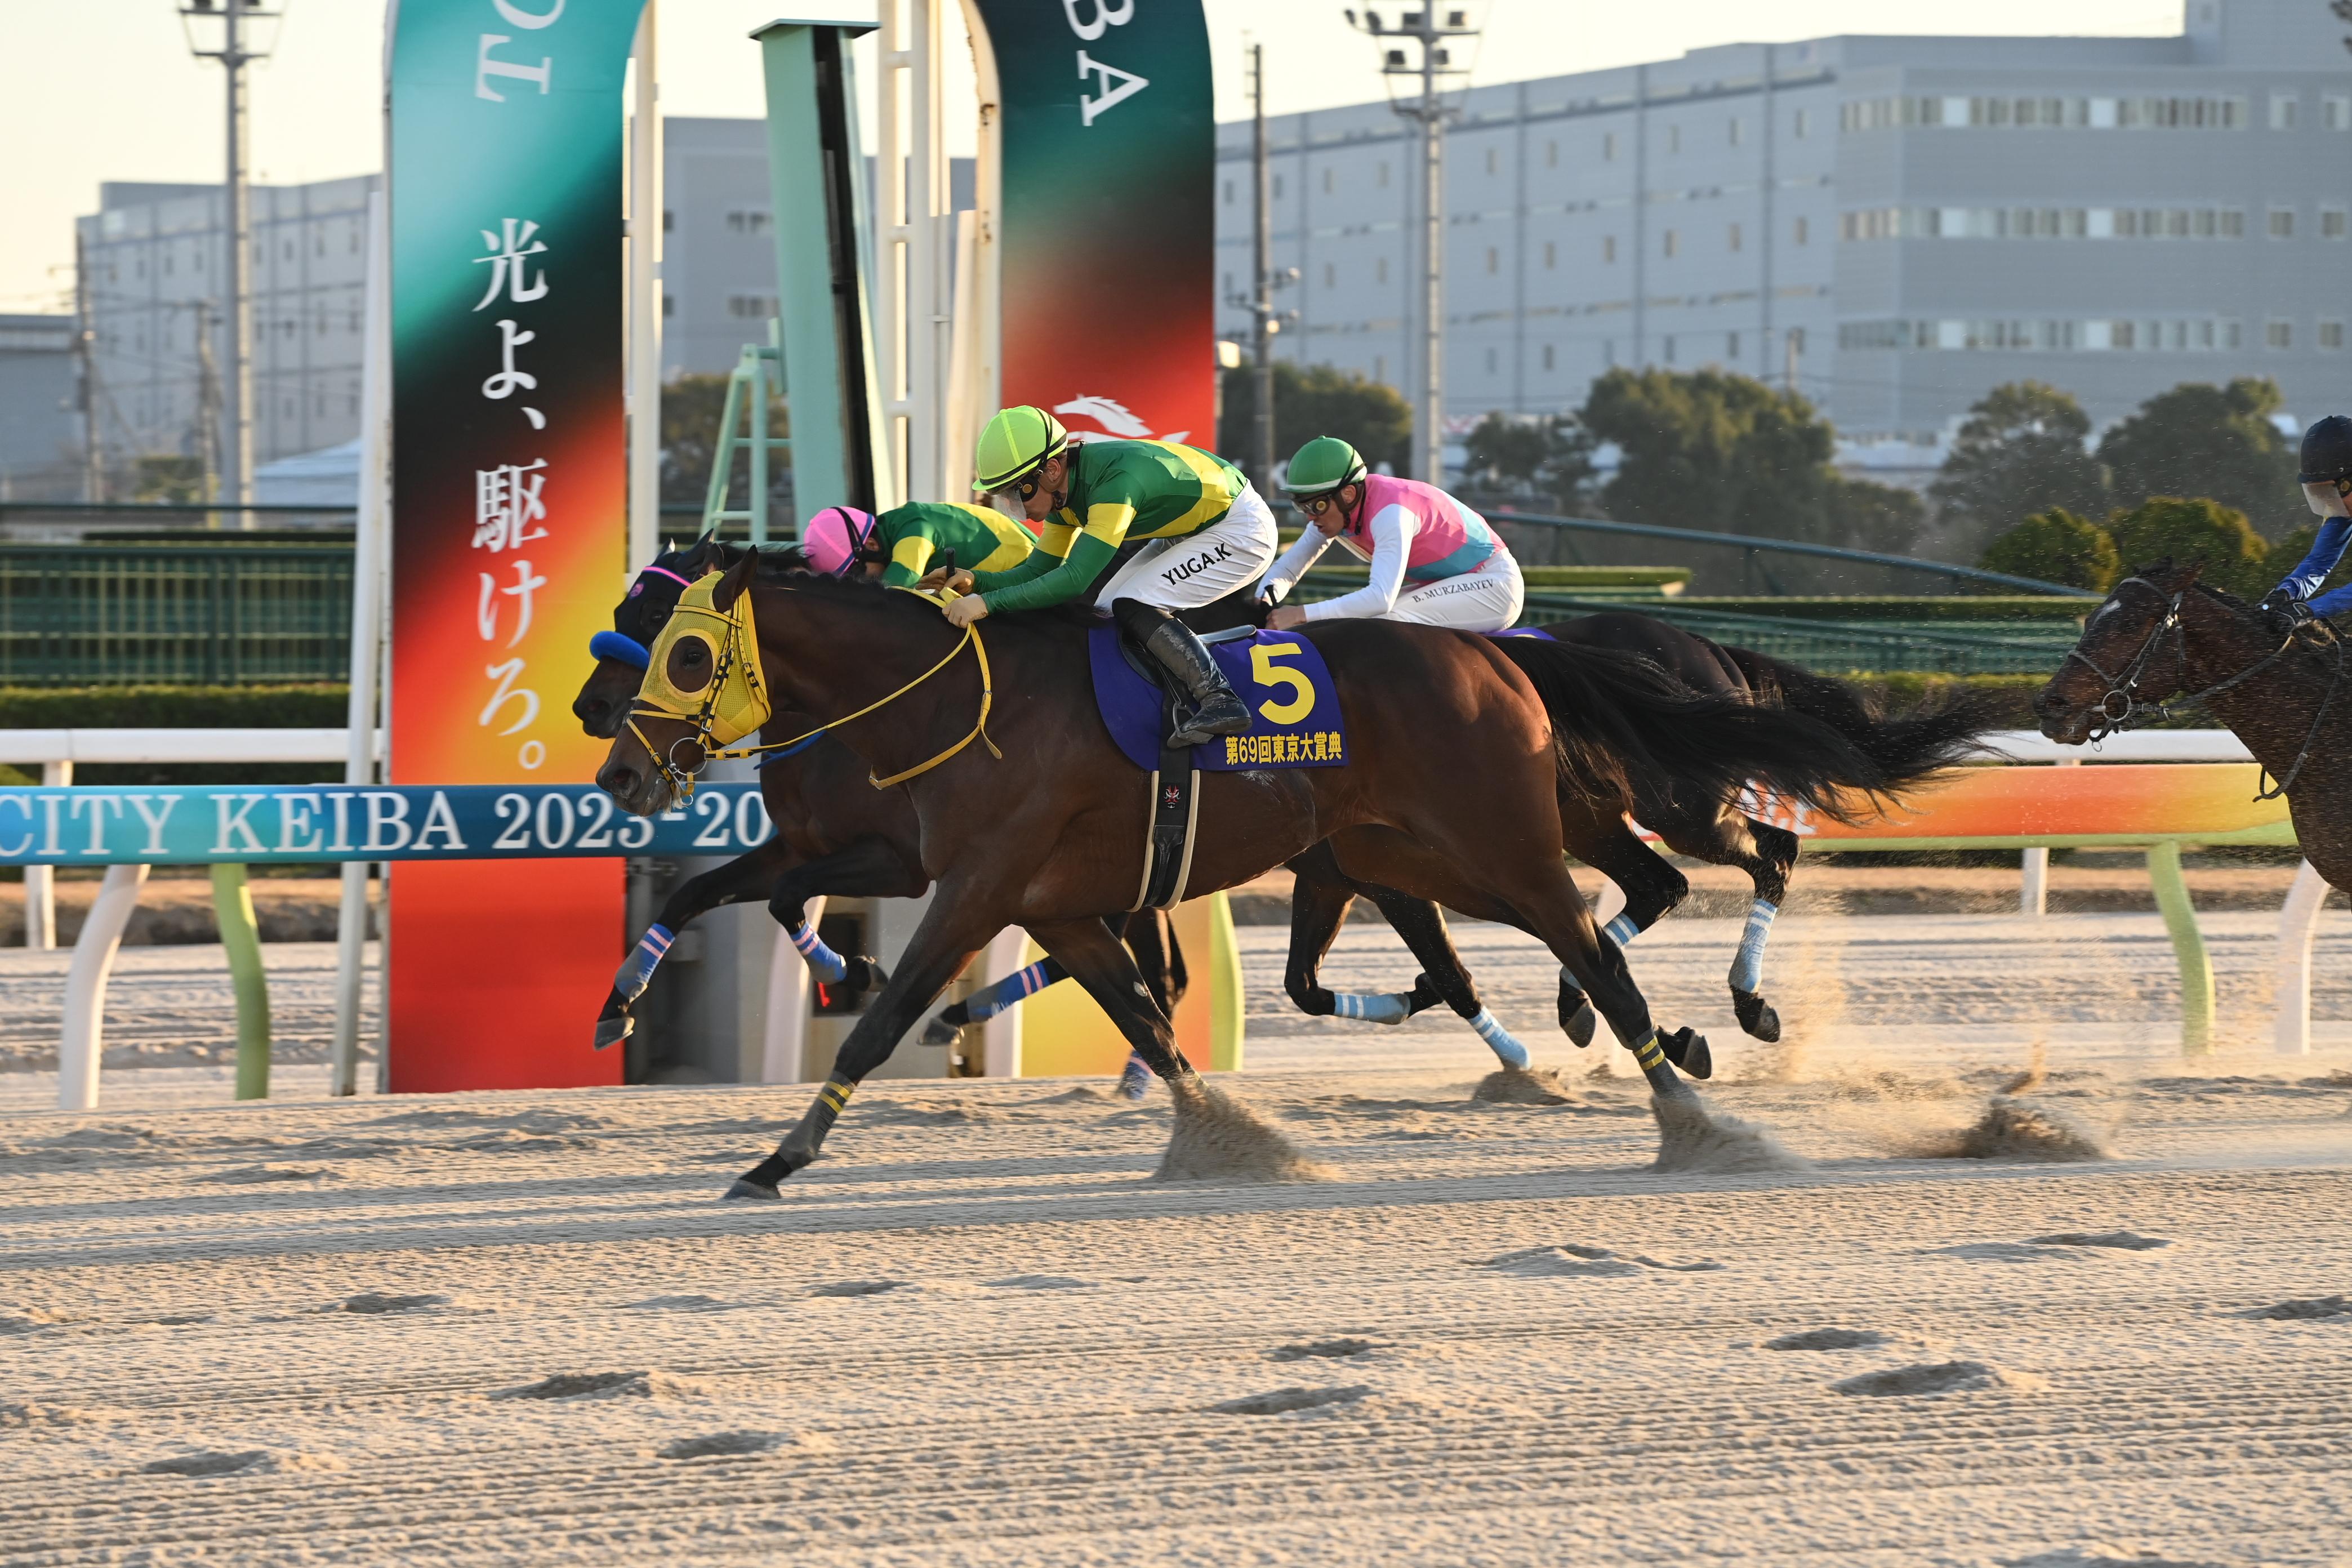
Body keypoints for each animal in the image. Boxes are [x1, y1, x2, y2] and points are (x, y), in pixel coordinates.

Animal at [597, 557, 1900, 1194]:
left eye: (687, 651)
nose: (616, 763)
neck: (950, 699)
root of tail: (1496, 659)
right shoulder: (1045, 900)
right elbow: (1149, 1016)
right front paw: (1237, 1143)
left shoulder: (970, 886)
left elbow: (881, 1025)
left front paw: (778, 1159)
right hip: (1415, 854)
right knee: (1600, 919)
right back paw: (1660, 1046)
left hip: (1513, 841)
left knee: (1619, 932)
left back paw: (1690, 1104)